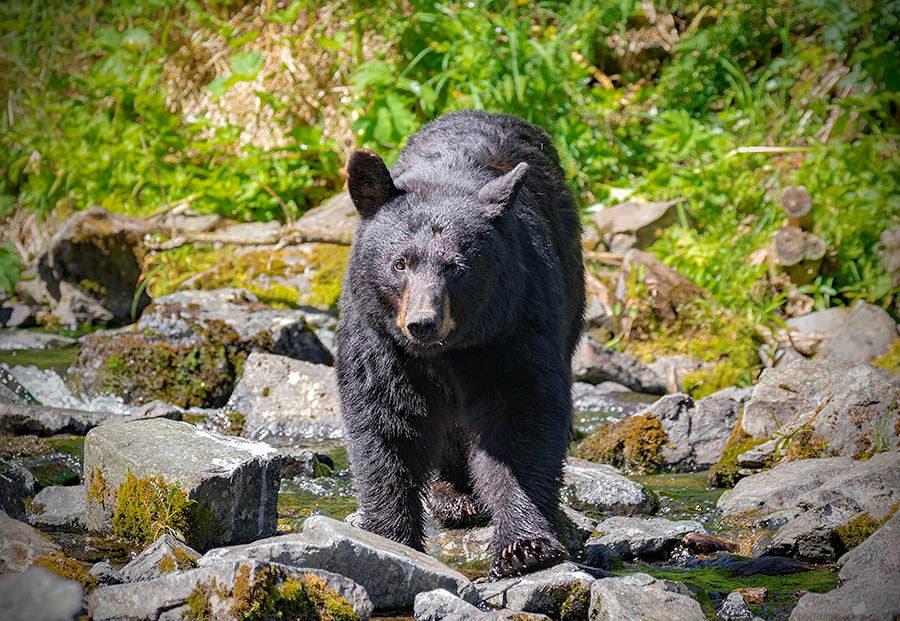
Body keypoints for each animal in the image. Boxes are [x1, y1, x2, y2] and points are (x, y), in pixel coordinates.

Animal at [335, 110, 585, 579]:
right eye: (400, 263)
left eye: (456, 266)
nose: (422, 323)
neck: (444, 352)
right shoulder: (380, 339)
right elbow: (386, 418)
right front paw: (389, 535)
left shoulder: (511, 325)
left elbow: (519, 413)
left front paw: (524, 545)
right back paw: (453, 495)